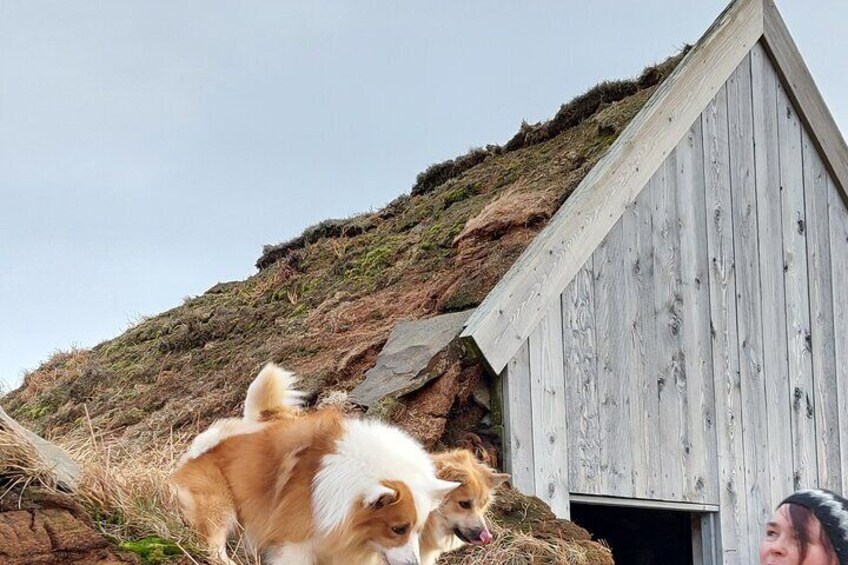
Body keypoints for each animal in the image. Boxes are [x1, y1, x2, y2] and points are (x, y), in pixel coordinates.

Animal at [171, 364, 458, 560]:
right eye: (398, 529)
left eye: (417, 530)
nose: (414, 563)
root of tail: (196, 451)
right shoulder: (293, 545)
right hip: (219, 507)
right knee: (213, 548)